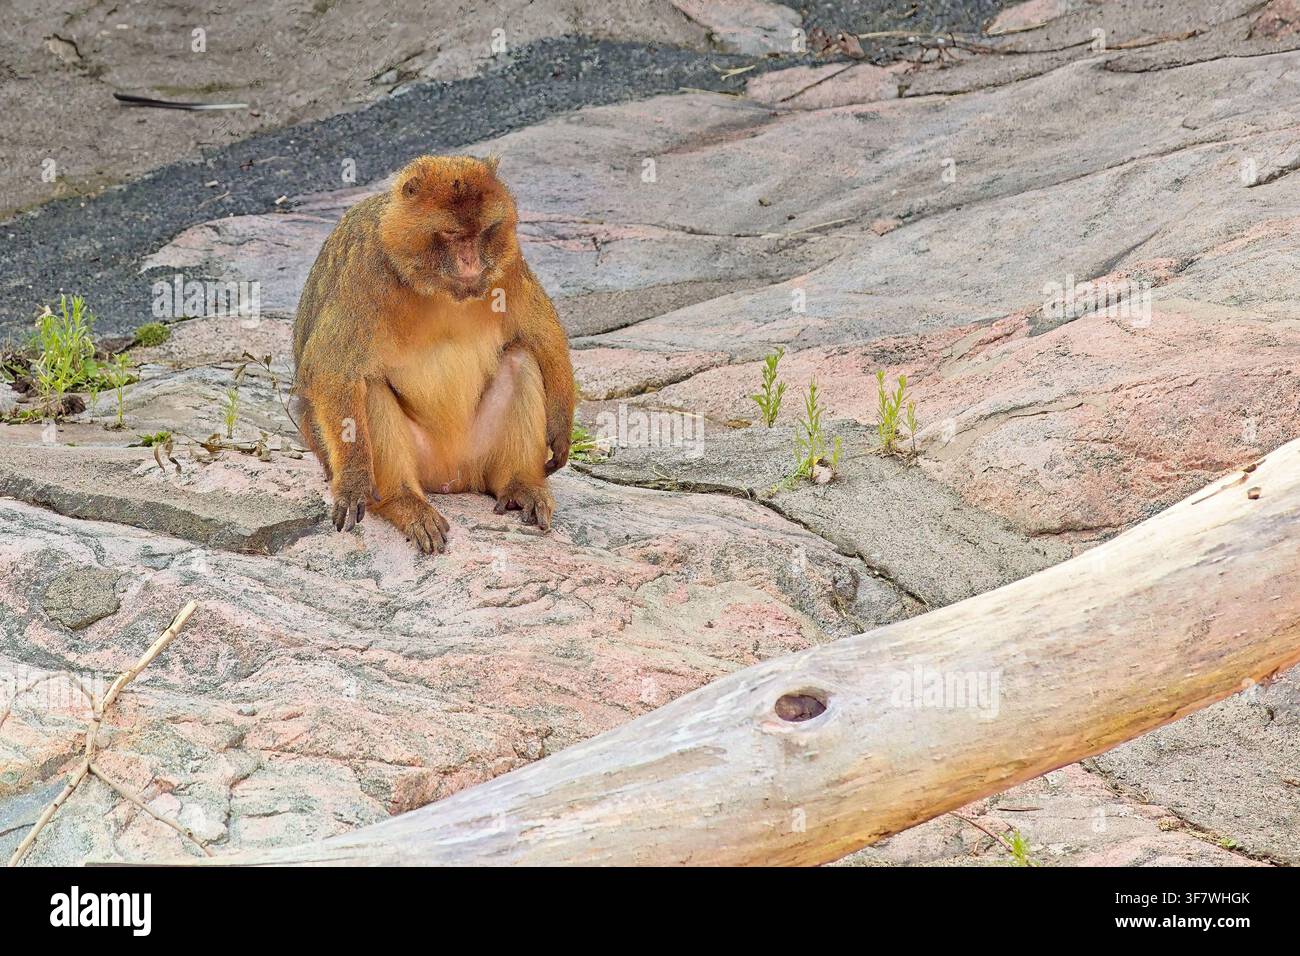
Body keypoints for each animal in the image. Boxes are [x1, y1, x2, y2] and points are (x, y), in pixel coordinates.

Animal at [292, 155, 575, 554]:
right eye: (453, 235)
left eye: (481, 232)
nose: (472, 263)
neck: (432, 283)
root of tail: (451, 480)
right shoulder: (366, 270)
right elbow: (334, 371)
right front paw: (354, 481)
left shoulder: (508, 259)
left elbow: (540, 333)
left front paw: (561, 427)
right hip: (423, 463)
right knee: (370, 387)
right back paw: (402, 501)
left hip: (477, 454)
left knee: (519, 359)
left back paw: (521, 485)